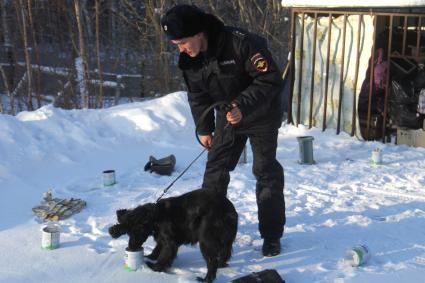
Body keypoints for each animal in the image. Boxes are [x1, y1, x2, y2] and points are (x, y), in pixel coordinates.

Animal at [107, 189, 237, 283]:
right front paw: (150, 257)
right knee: (224, 254)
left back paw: (205, 279)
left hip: (206, 239)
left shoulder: (170, 242)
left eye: (137, 232)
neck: (155, 216)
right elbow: (157, 249)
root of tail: (229, 211)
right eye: (128, 234)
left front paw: (154, 267)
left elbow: (164, 256)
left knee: (212, 261)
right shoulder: (162, 238)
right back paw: (221, 265)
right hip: (226, 240)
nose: (131, 247)